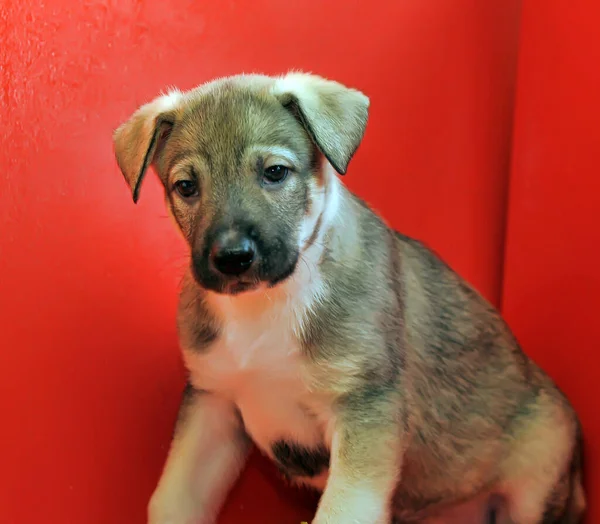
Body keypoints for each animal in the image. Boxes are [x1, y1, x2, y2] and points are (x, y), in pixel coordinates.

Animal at [112, 72, 584, 524]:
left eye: (275, 172)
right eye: (186, 186)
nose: (233, 258)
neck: (264, 308)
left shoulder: (364, 408)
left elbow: (343, 511)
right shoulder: (213, 405)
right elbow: (173, 502)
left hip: (537, 480)